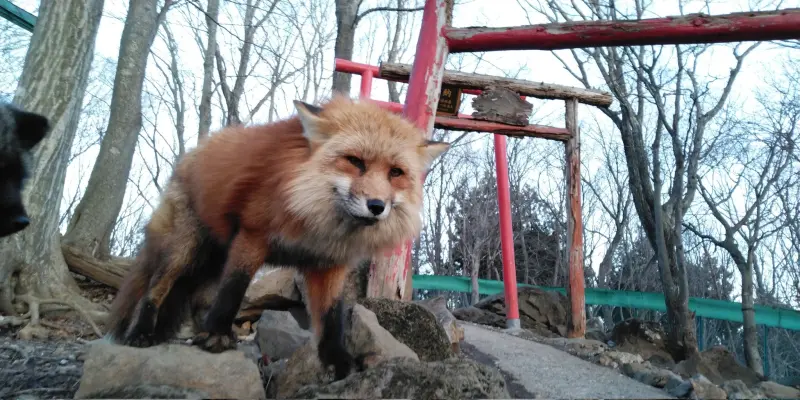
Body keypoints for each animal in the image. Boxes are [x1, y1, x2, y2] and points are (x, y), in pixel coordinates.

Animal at [104, 95, 450, 380]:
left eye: (395, 173)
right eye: (355, 161)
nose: (377, 206)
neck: (315, 221)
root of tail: (196, 149)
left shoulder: (330, 265)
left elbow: (331, 317)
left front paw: (337, 362)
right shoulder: (252, 237)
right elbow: (234, 289)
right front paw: (217, 335)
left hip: (209, 264)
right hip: (184, 251)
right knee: (155, 289)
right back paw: (142, 333)